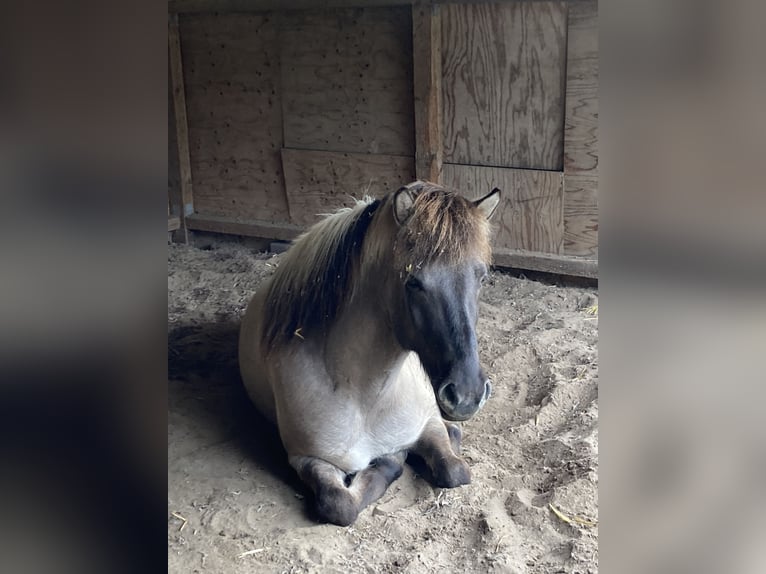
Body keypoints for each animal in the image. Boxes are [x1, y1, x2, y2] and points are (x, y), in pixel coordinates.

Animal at [238, 181, 501, 526]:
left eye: (482, 277)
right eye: (413, 281)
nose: (467, 395)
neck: (366, 396)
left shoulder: (429, 422)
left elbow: (455, 470)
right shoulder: (306, 458)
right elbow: (341, 504)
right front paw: (393, 459)